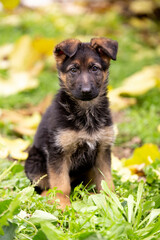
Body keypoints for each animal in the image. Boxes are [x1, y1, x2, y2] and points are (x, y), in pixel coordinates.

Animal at [24, 37, 117, 208]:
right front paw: (61, 203)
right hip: (35, 163)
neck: (86, 112)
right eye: (74, 70)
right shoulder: (58, 152)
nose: (86, 91)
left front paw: (110, 200)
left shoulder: (103, 149)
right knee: (43, 186)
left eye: (95, 68)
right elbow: (61, 183)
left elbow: (106, 180)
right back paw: (48, 196)